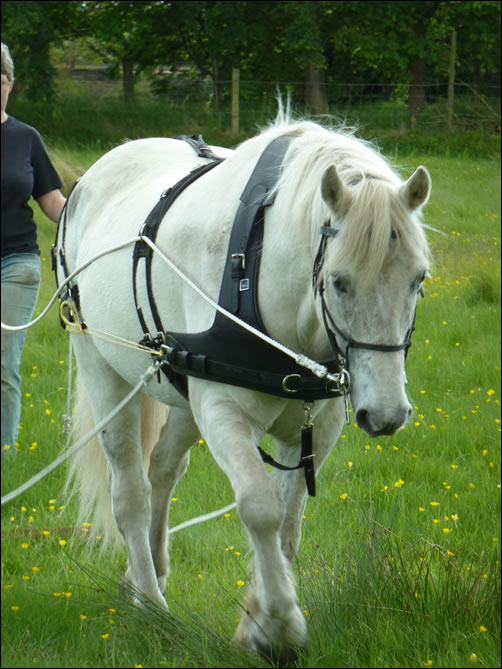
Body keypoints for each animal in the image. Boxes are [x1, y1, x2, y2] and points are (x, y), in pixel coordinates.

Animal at [56, 112, 430, 660]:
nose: (385, 415)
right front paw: (280, 627)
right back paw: (149, 601)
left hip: (185, 390)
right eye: (339, 281)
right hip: (102, 368)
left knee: (163, 468)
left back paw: (147, 572)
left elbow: (289, 525)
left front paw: (256, 623)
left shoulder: (318, 425)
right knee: (130, 492)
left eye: (418, 280)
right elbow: (260, 508)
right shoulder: (222, 408)